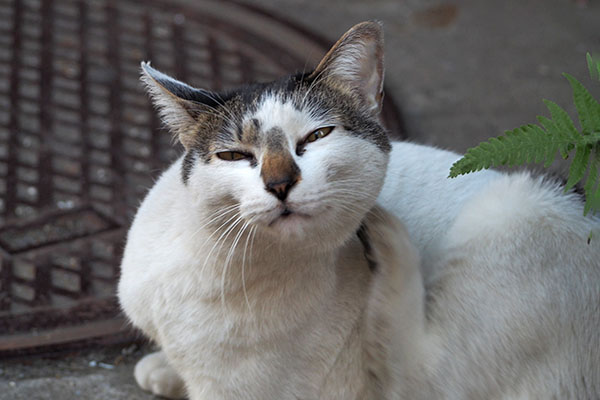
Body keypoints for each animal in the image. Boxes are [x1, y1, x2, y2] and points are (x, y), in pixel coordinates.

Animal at [118, 21, 600, 400]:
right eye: (234, 155)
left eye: (317, 136)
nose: (280, 183)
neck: (216, 262)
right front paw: (165, 367)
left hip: (516, 209)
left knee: (421, 377)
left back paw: (389, 240)